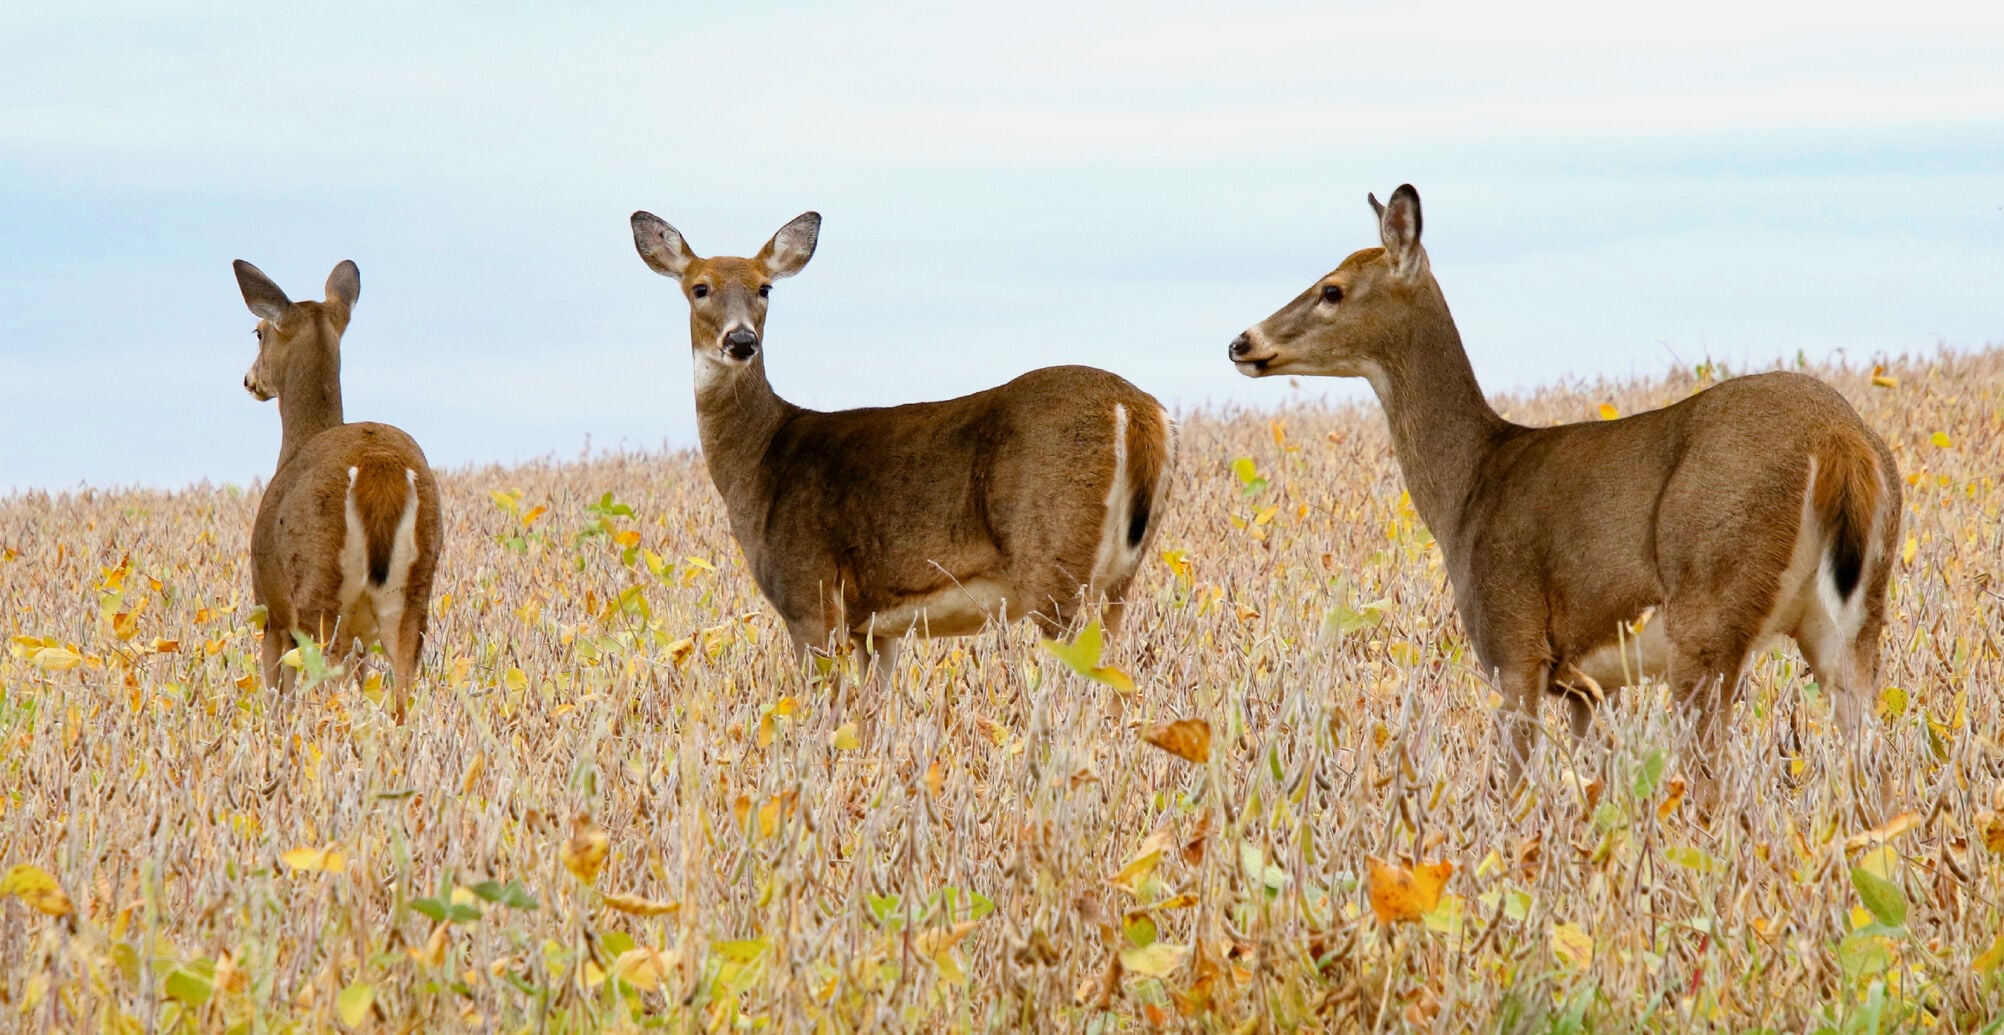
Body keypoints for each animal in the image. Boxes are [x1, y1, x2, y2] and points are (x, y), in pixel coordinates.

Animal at [235, 259, 443, 719]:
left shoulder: (271, 610)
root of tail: (379, 464)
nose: (248, 380)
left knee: (340, 697)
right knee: (402, 699)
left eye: (259, 332)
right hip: (412, 597)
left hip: (318, 592)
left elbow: (277, 703)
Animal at [628, 210, 1174, 687]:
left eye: (765, 287)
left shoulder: (807, 592)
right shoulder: (873, 624)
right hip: (1121, 576)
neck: (762, 459)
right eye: (700, 288)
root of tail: (1137, 410)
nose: (741, 340)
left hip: (1056, 563)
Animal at [1228, 184, 1901, 797]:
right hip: (1852, 620)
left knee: (1718, 785)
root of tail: (1840, 438)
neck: (1470, 488)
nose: (1241, 342)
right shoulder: (1586, 685)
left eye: (1332, 289)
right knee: (1873, 770)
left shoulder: (1515, 645)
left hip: (1709, 610)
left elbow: (1514, 788)